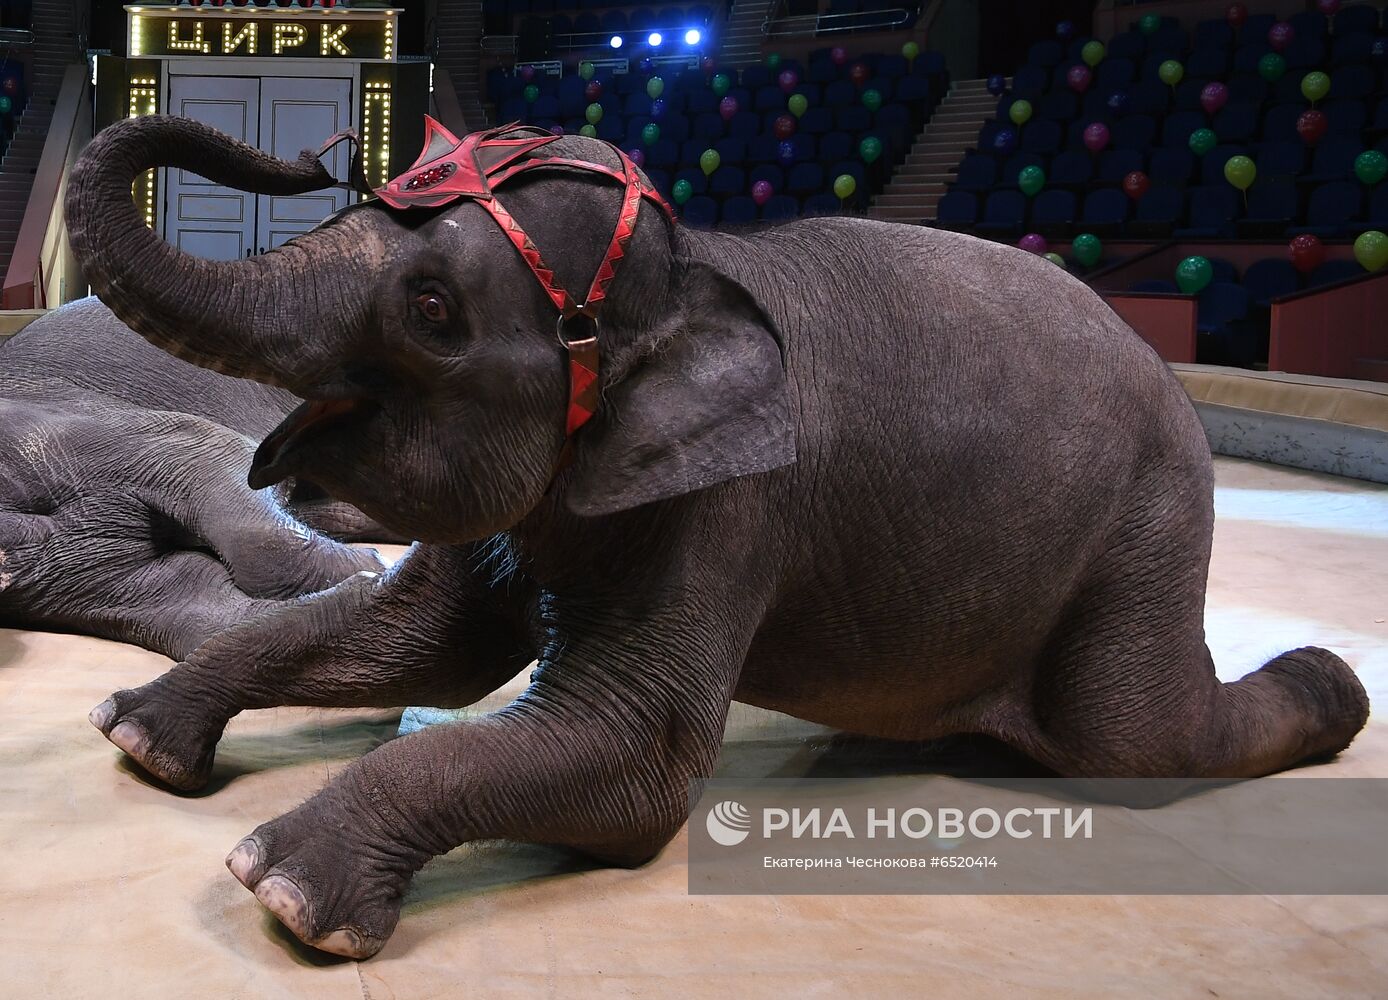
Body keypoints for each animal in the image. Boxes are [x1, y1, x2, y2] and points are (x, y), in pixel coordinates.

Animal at [67, 117, 1365, 961]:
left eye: (431, 309)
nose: (315, 149)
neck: (696, 269)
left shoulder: (732, 503)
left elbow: (633, 763)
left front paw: (283, 886)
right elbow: (416, 642)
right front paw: (141, 736)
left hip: (1147, 526)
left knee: (1134, 738)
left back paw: (1330, 687)